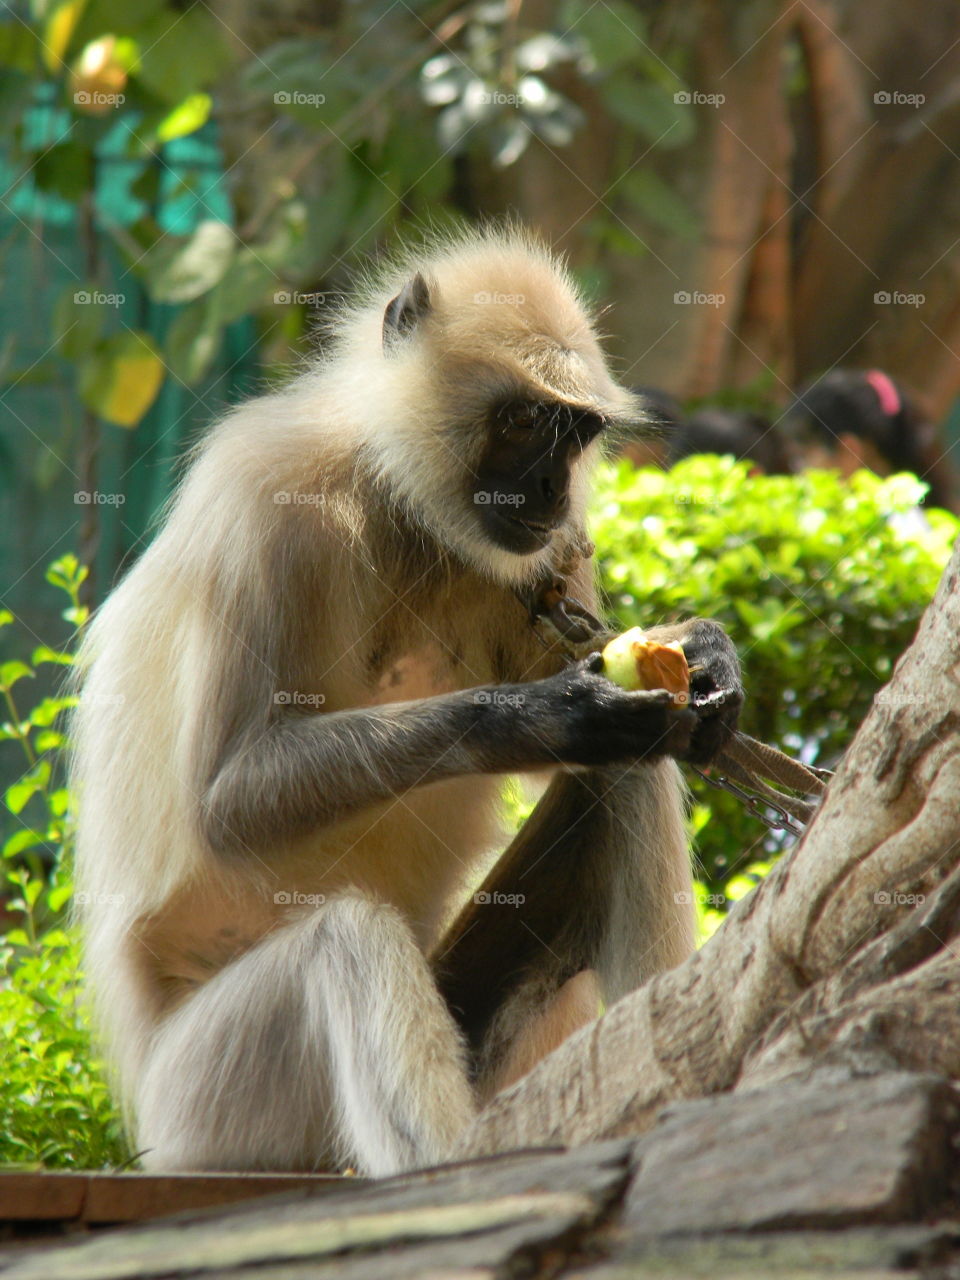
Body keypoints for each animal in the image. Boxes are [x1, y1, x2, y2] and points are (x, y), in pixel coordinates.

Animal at [73, 225, 742, 1172]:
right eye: (524, 422)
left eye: (576, 436)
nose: (549, 490)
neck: (394, 504)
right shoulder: (258, 495)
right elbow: (224, 805)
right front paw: (546, 714)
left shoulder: (546, 551)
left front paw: (705, 652)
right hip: (206, 1106)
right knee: (344, 944)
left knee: (629, 768)